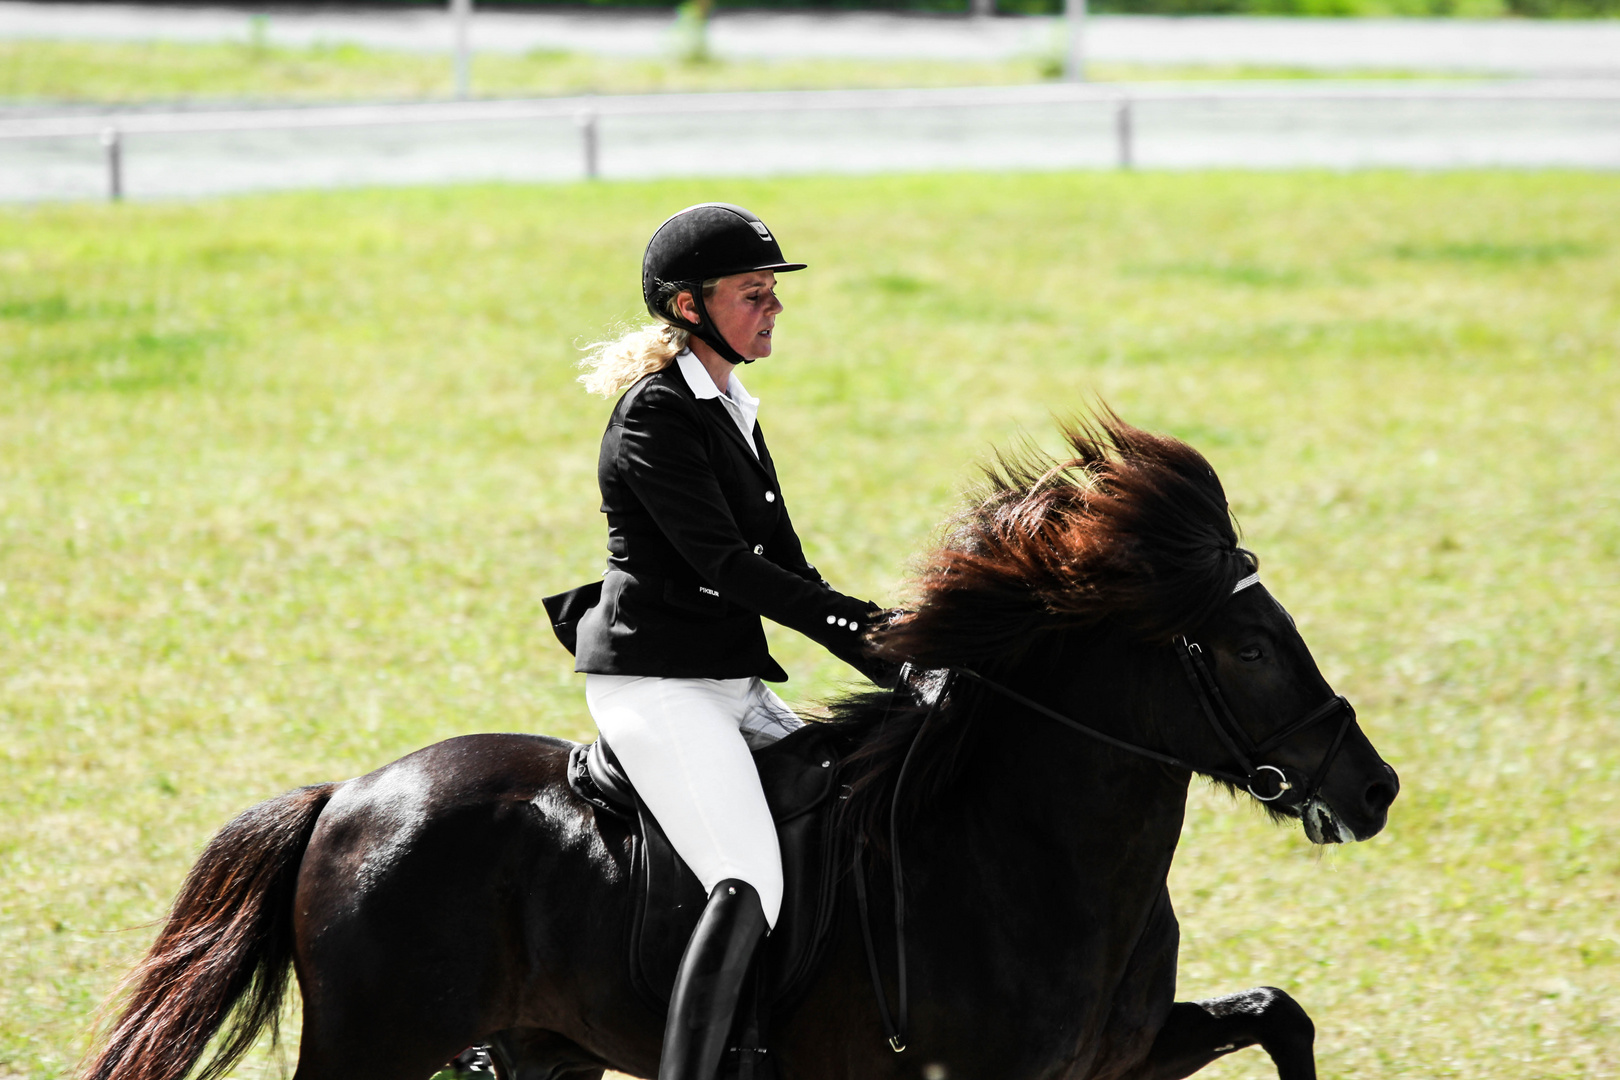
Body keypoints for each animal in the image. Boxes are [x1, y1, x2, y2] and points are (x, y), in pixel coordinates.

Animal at [88, 414, 1399, 1080]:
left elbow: (1280, 1012)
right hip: (378, 1045)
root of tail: (351, 795)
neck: (1025, 860)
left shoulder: (1114, 1062)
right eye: (1249, 647)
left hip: (534, 1048)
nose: (1374, 788)